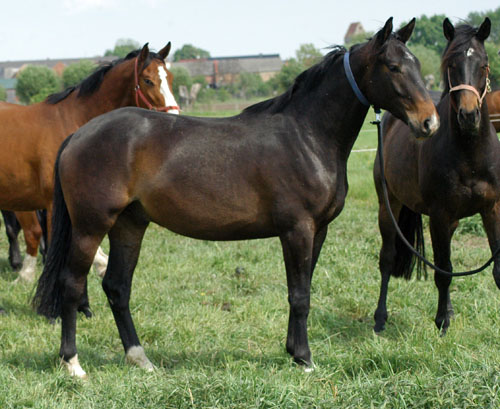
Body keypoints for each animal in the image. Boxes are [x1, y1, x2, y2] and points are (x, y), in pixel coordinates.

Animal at [0, 43, 179, 294]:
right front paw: (26, 275)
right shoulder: (50, 203)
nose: (175, 118)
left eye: (169, 78)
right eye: (148, 80)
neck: (71, 123)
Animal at [32, 18, 438, 376]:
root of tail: (78, 135)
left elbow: (302, 289)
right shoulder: (298, 229)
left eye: (417, 64)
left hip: (129, 225)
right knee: (72, 285)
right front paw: (305, 359)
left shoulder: (317, 231)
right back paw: (73, 364)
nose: (430, 122)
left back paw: (140, 359)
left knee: (117, 287)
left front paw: (293, 351)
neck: (306, 136)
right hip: (91, 226)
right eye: (393, 66)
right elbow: (299, 296)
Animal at [372, 17, 496, 334]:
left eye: (484, 65)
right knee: (388, 258)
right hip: (389, 206)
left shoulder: (492, 209)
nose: (469, 116)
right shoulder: (439, 215)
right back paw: (380, 318)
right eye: (451, 64)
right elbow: (444, 273)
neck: (470, 154)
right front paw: (442, 322)